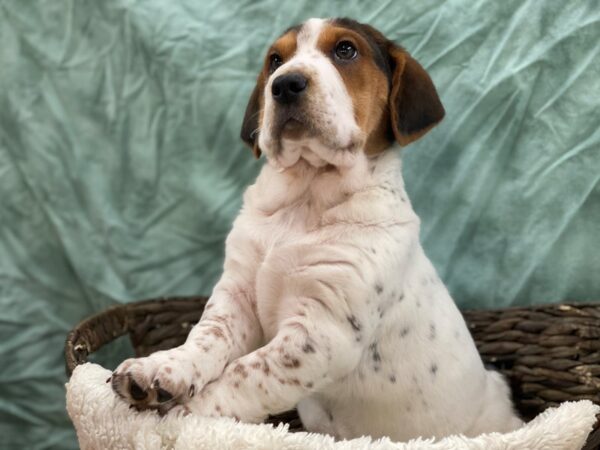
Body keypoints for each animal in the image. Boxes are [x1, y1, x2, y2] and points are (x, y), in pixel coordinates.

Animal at [110, 16, 524, 440]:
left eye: (345, 50)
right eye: (275, 60)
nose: (284, 84)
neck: (305, 197)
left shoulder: (321, 331)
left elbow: (244, 373)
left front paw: (188, 415)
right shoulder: (237, 296)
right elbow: (207, 336)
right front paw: (160, 368)